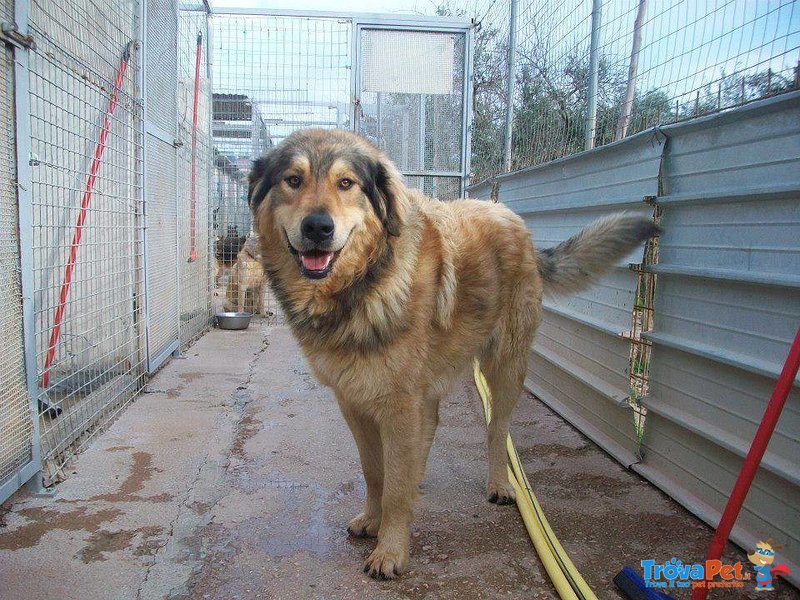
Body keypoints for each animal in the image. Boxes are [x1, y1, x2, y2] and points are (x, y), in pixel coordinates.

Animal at [247, 129, 660, 580]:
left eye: (346, 183)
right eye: (293, 180)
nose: (318, 227)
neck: (364, 283)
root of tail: (515, 221)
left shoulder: (399, 403)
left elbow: (394, 489)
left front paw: (391, 550)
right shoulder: (354, 402)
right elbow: (375, 473)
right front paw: (374, 518)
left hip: (505, 367)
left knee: (497, 430)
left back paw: (499, 483)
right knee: (430, 428)